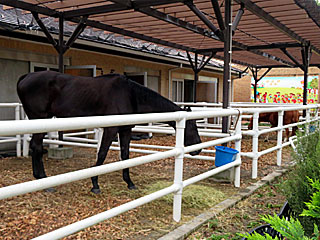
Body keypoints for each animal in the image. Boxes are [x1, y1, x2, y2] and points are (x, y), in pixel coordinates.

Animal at [16, 71, 200, 193]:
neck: (130, 95)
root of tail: (25, 77)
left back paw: (38, 177)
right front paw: (95, 184)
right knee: (36, 146)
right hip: (39, 119)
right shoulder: (110, 130)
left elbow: (125, 155)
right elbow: (102, 154)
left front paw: (129, 182)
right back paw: (44, 180)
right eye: (191, 126)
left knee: (36, 146)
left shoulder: (125, 130)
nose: (198, 149)